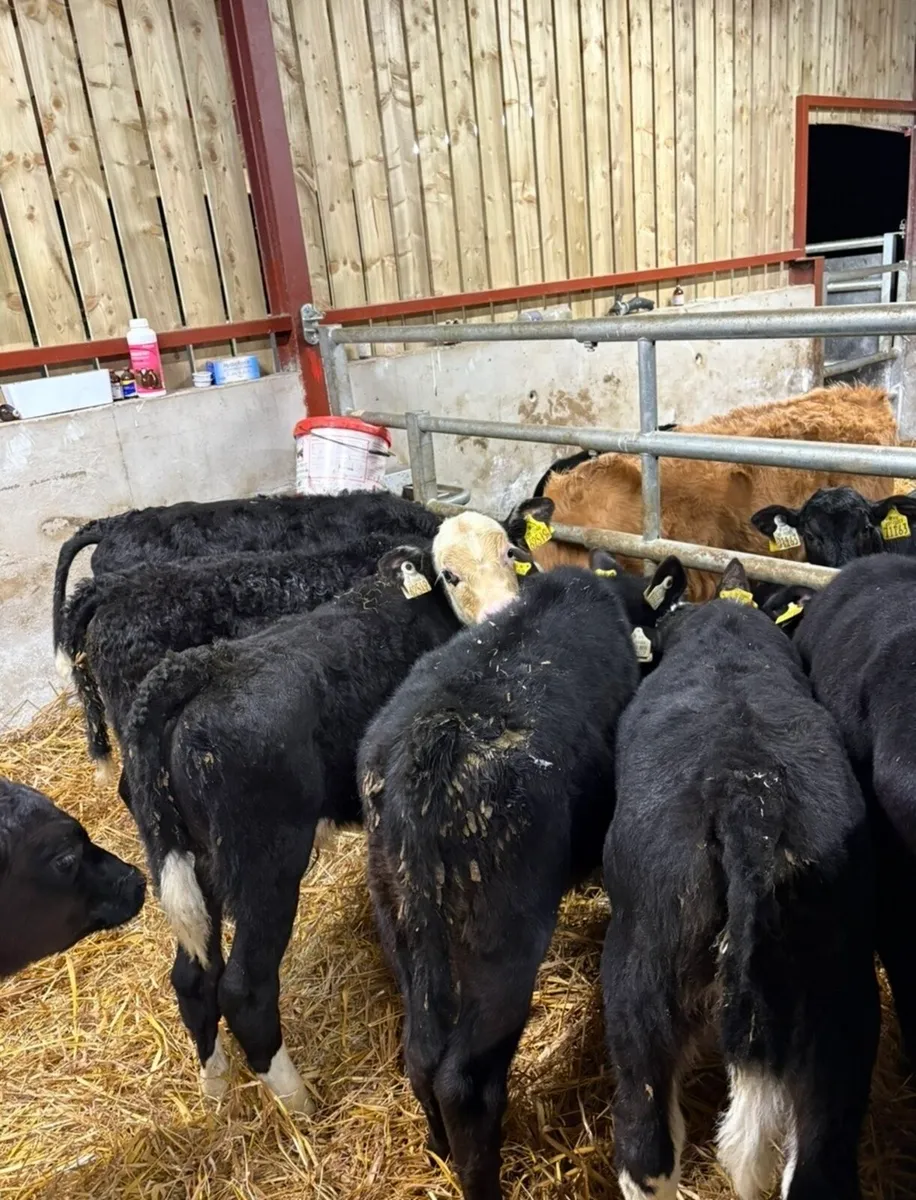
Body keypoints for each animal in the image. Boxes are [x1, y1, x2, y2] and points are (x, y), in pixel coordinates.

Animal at [121, 515, 531, 1114]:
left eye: (509, 552)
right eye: (451, 575)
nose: (504, 611)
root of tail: (199, 668)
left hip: (195, 862)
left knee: (192, 975)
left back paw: (216, 1085)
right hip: (265, 862)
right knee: (243, 987)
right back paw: (298, 1103)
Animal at [358, 555, 685, 1200]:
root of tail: (426, 756)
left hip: (402, 925)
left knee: (420, 1055)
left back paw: (439, 1149)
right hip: (501, 951)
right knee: (463, 1081)